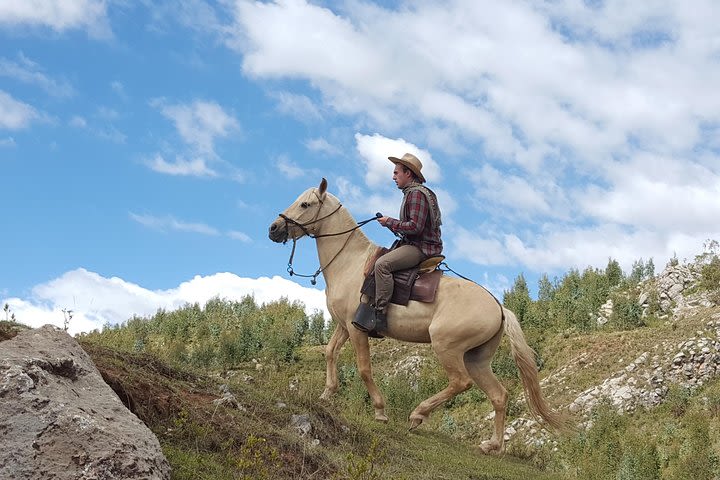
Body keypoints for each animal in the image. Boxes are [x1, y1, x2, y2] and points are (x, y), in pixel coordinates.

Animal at [268, 177, 564, 454]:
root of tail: (499, 307)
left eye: (305, 204)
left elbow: (364, 369)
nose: (274, 228)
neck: (349, 263)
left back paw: (418, 414)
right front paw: (327, 394)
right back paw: (492, 445)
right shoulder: (344, 326)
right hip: (476, 359)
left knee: (460, 382)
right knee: (499, 395)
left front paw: (380, 411)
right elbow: (330, 352)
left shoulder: (357, 329)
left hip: (447, 347)